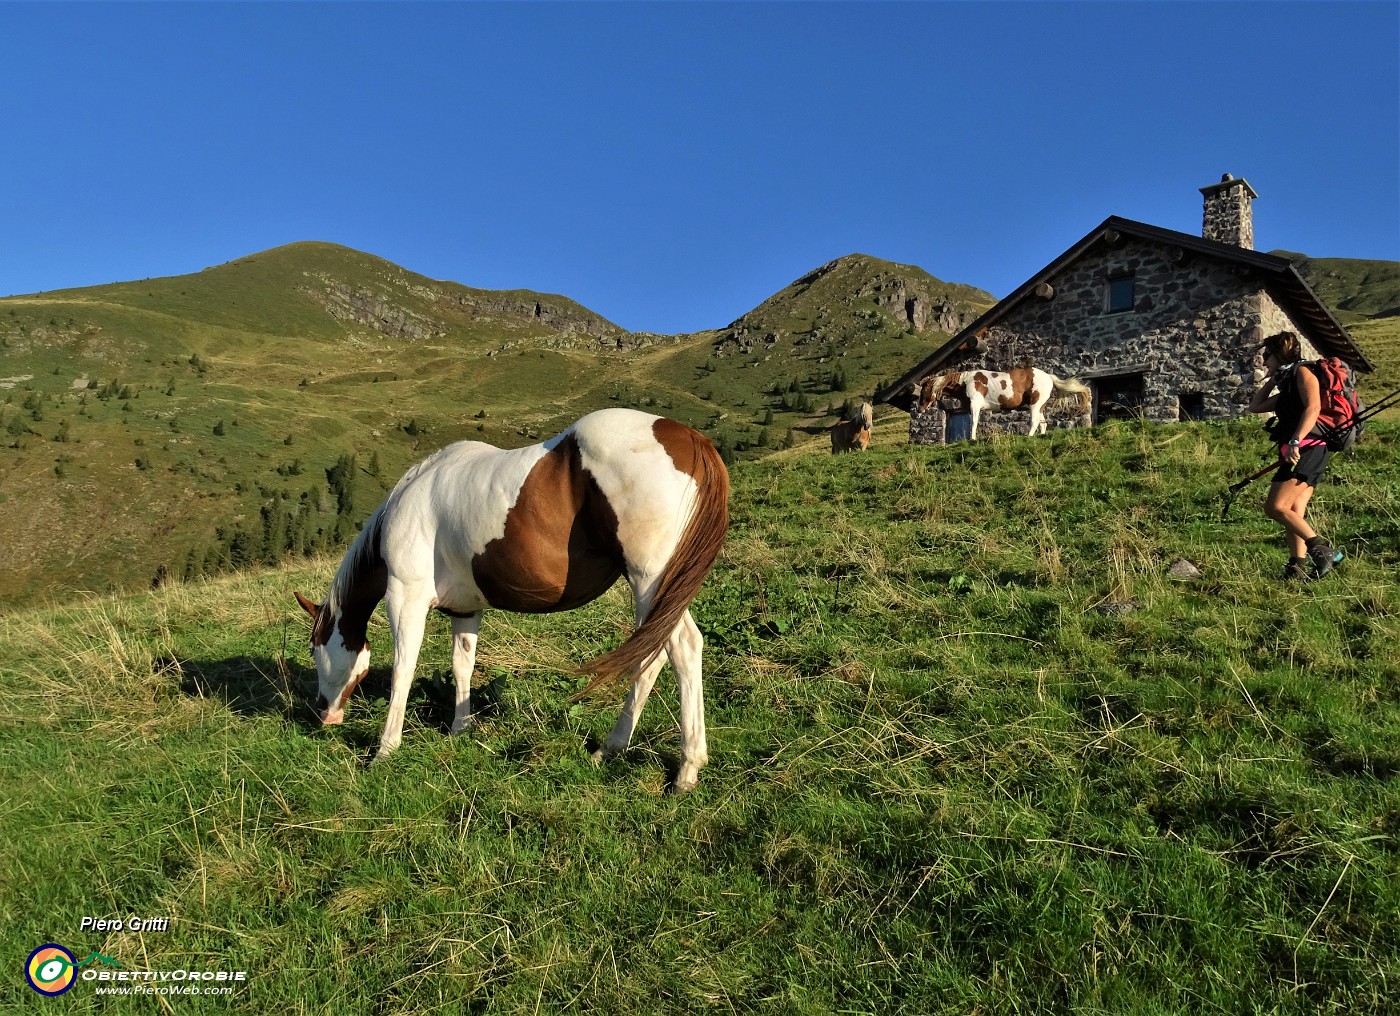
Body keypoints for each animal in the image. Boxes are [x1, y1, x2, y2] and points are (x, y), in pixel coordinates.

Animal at [298, 408, 733, 794]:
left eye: (314, 648)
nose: (324, 714)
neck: (409, 500)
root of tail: (689, 439)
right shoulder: (466, 609)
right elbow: (462, 666)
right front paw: (460, 729)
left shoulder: (406, 598)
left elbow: (402, 671)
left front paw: (385, 750)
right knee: (652, 657)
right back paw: (610, 749)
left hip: (651, 582)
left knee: (682, 648)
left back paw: (687, 769)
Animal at [918, 369, 1092, 442]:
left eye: (923, 391)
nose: (920, 409)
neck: (966, 381)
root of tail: (1048, 376)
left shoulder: (975, 405)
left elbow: (973, 423)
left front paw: (972, 439)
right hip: (1040, 405)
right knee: (1043, 423)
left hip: (1035, 404)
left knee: (1035, 422)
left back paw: (1028, 436)